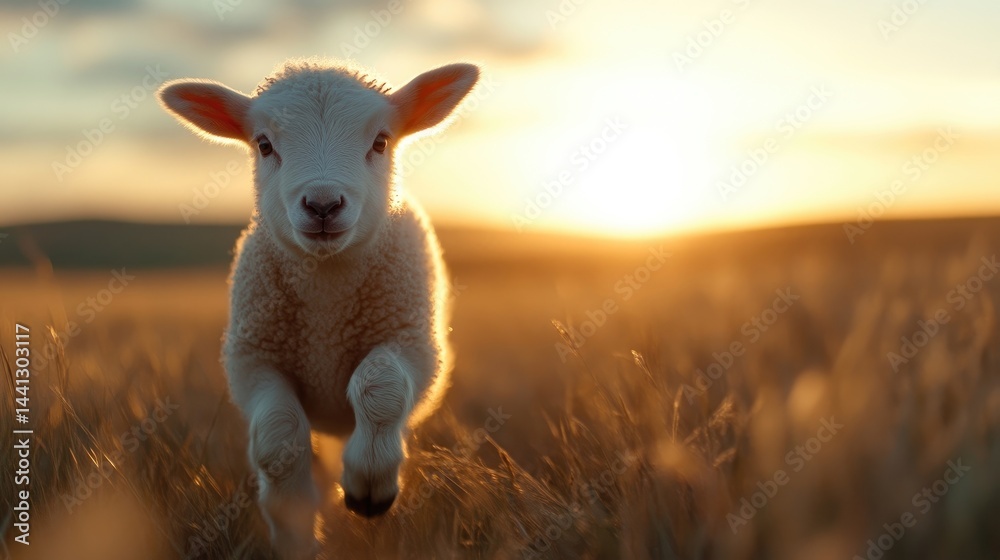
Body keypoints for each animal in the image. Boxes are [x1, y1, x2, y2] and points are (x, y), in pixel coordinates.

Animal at [157, 58, 479, 558]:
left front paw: (370, 484)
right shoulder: (252, 361)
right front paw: (294, 528)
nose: (323, 204)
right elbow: (277, 436)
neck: (326, 302)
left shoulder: (413, 343)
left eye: (380, 141)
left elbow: (380, 387)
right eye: (264, 144)